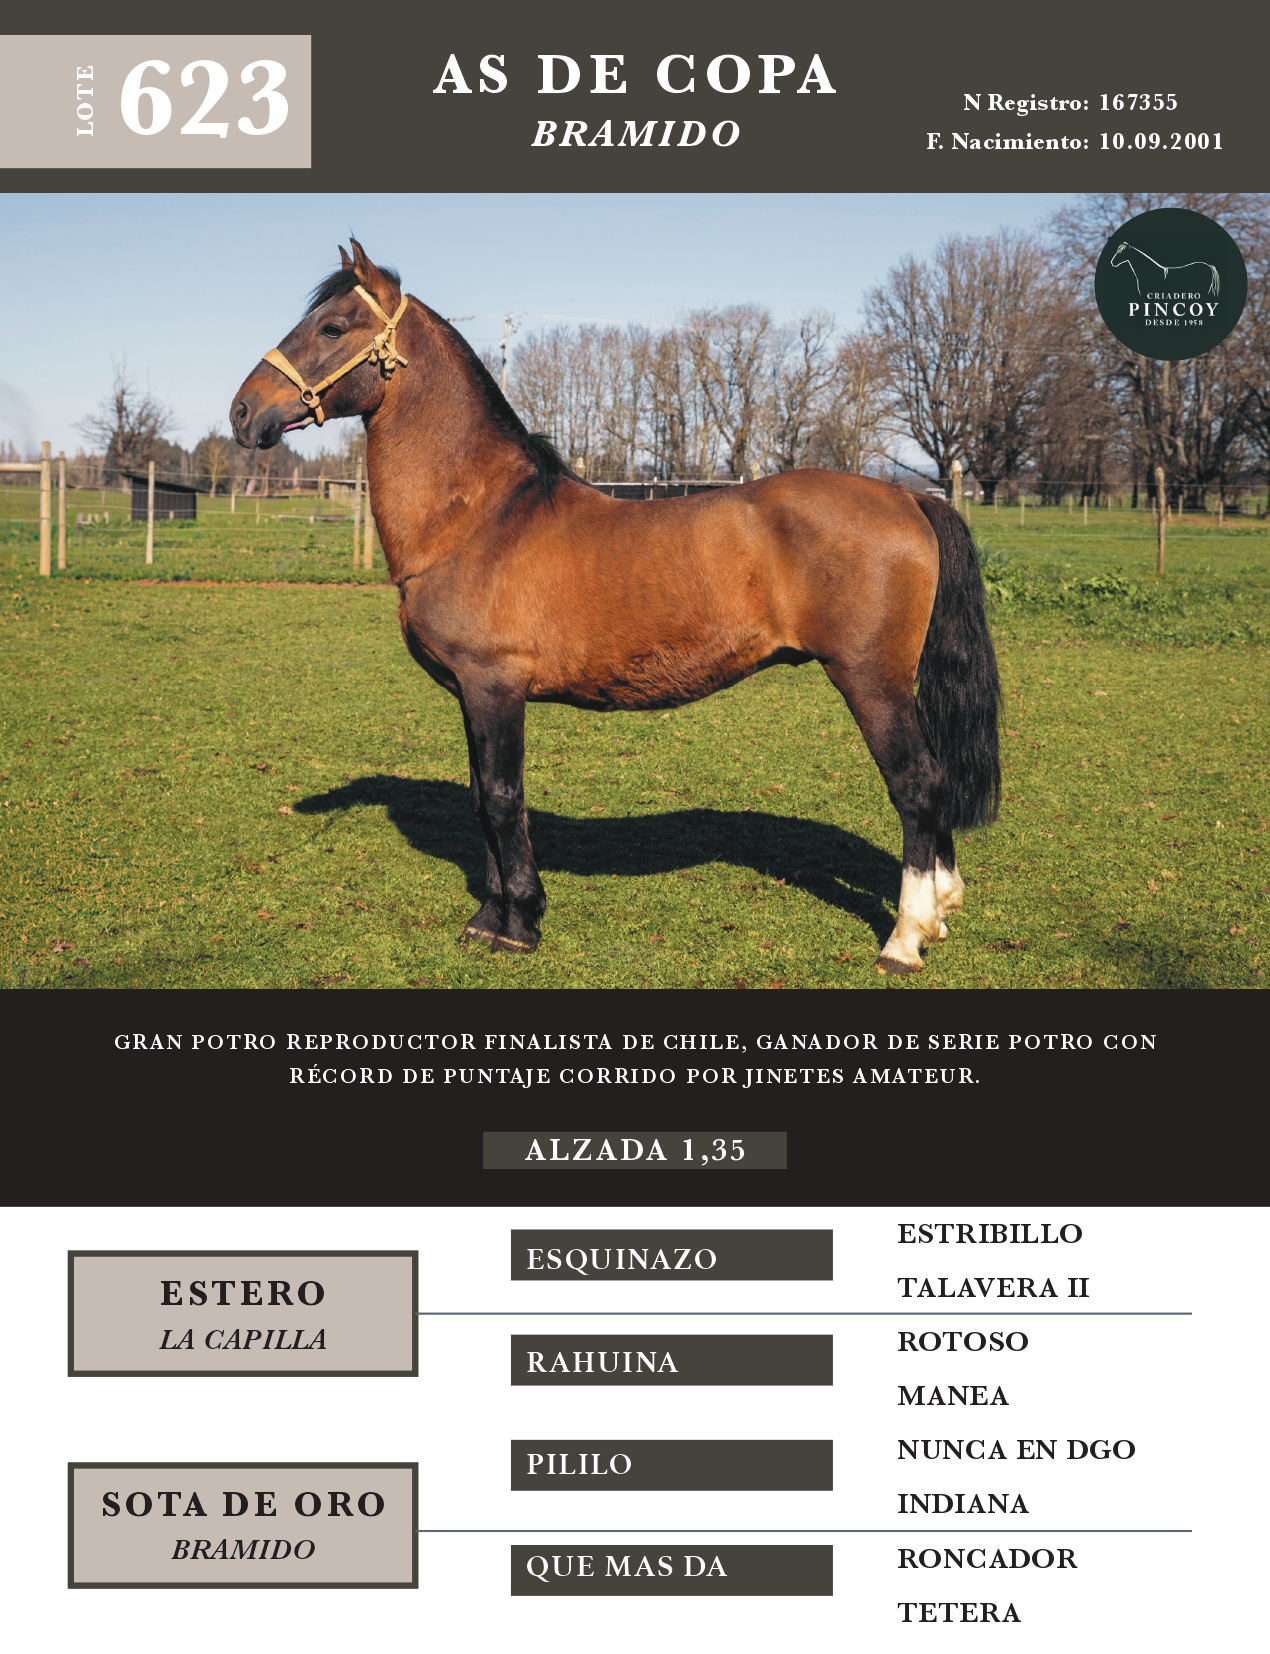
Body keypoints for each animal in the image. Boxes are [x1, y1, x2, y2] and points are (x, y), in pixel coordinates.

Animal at [230, 242, 1000, 974]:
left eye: (332, 326)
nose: (243, 411)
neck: (477, 517)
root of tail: (908, 497)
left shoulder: (494, 687)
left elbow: (502, 798)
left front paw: (519, 924)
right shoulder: (472, 696)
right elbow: (482, 799)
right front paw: (488, 918)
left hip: (870, 681)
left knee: (917, 785)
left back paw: (904, 939)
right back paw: (940, 912)